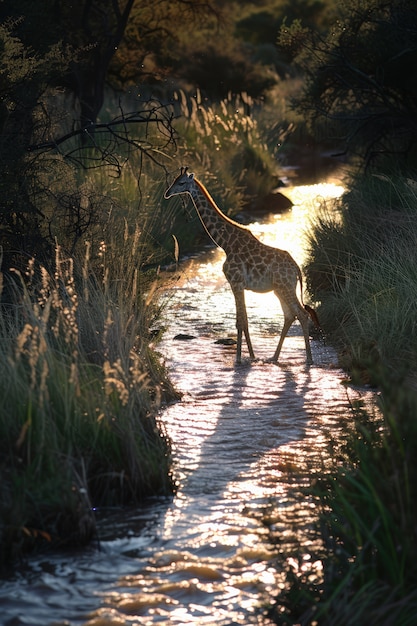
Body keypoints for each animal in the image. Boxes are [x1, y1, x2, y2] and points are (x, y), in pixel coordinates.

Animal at [163, 167, 318, 366]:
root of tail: (297, 269)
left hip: (285, 287)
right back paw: (273, 357)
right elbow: (243, 320)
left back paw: (309, 360)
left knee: (302, 314)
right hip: (279, 288)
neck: (226, 243)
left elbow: (241, 321)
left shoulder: (235, 282)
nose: (167, 194)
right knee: (290, 315)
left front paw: (239, 359)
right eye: (174, 180)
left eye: (181, 183)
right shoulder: (239, 285)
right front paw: (251, 356)